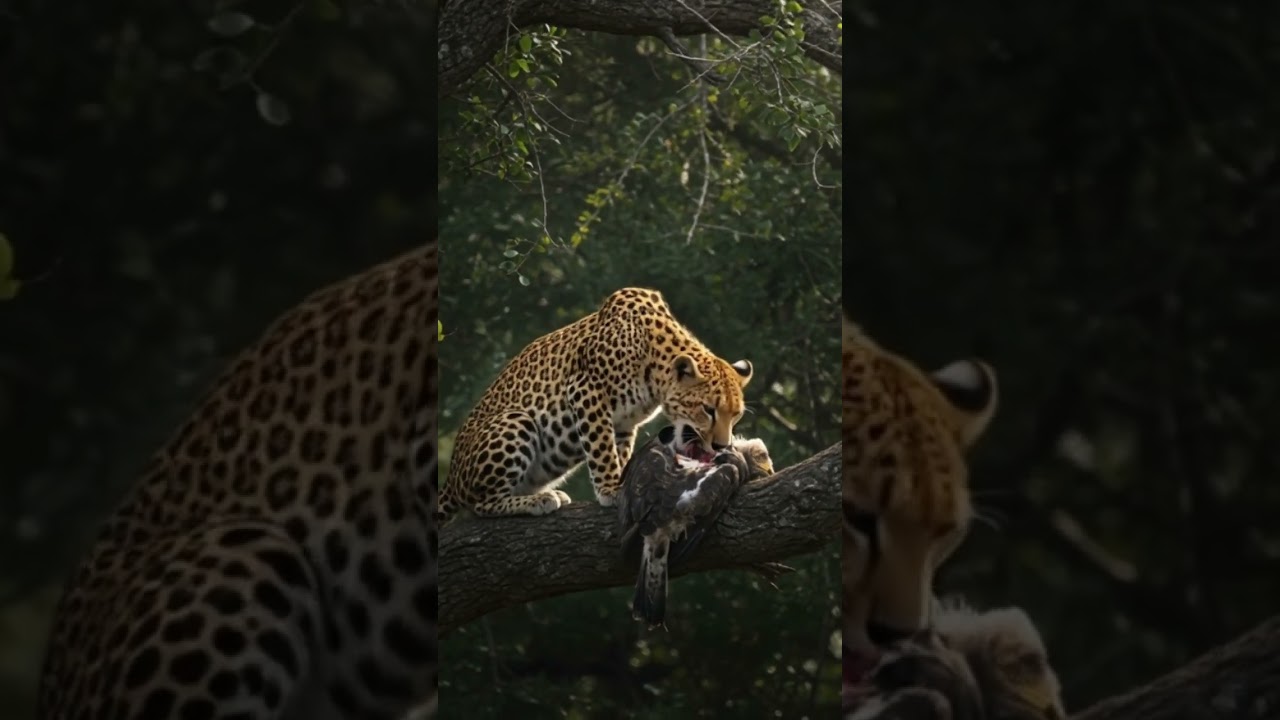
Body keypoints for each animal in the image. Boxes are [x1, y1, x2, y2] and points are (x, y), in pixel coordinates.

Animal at [437, 286, 753, 521]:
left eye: (735, 415)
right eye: (708, 410)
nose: (722, 446)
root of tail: (450, 478)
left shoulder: (625, 422)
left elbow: (618, 452)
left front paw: (622, 483)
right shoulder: (586, 391)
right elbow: (602, 449)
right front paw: (611, 490)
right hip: (516, 420)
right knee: (481, 504)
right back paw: (539, 499)